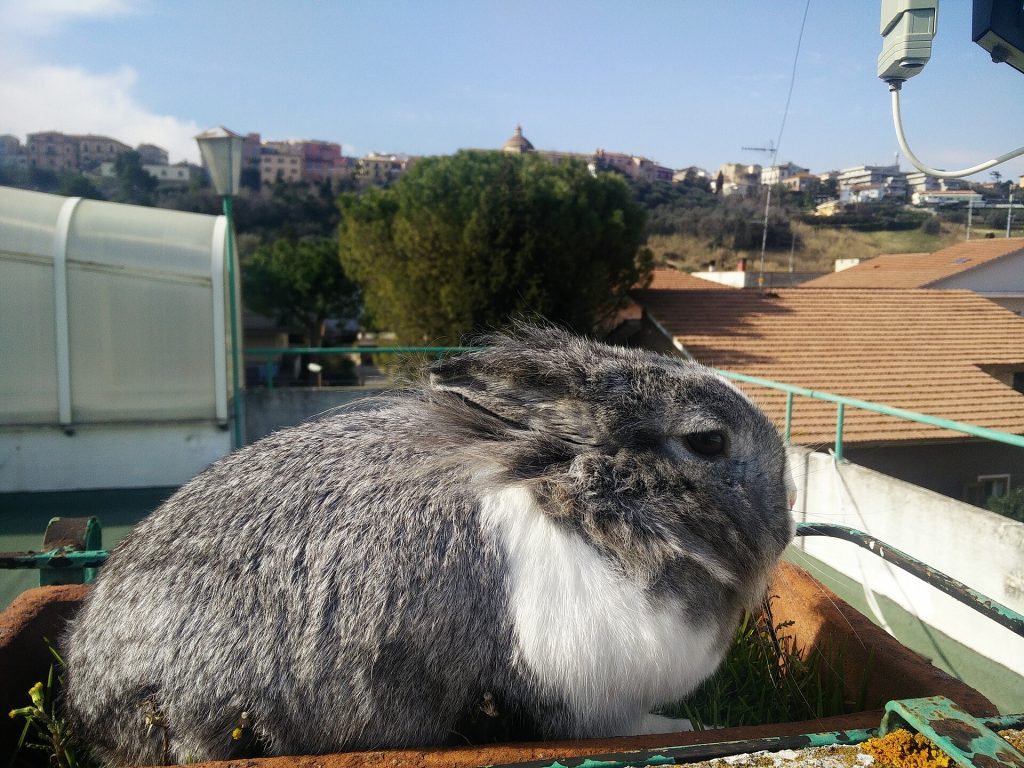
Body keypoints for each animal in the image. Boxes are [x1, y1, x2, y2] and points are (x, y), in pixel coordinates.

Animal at [60, 325, 794, 765]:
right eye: (707, 441)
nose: (789, 518)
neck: (588, 501)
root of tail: (87, 694)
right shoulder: (581, 690)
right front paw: (683, 730)